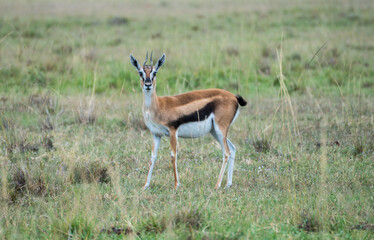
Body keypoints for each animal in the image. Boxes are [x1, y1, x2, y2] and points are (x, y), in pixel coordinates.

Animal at [130, 52, 247, 189]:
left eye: (154, 72)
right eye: (140, 72)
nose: (148, 84)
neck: (158, 106)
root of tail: (234, 97)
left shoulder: (172, 131)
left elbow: (173, 155)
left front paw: (176, 185)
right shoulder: (156, 134)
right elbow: (152, 157)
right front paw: (145, 185)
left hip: (220, 129)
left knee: (227, 152)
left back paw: (217, 185)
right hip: (215, 132)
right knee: (232, 149)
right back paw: (228, 184)